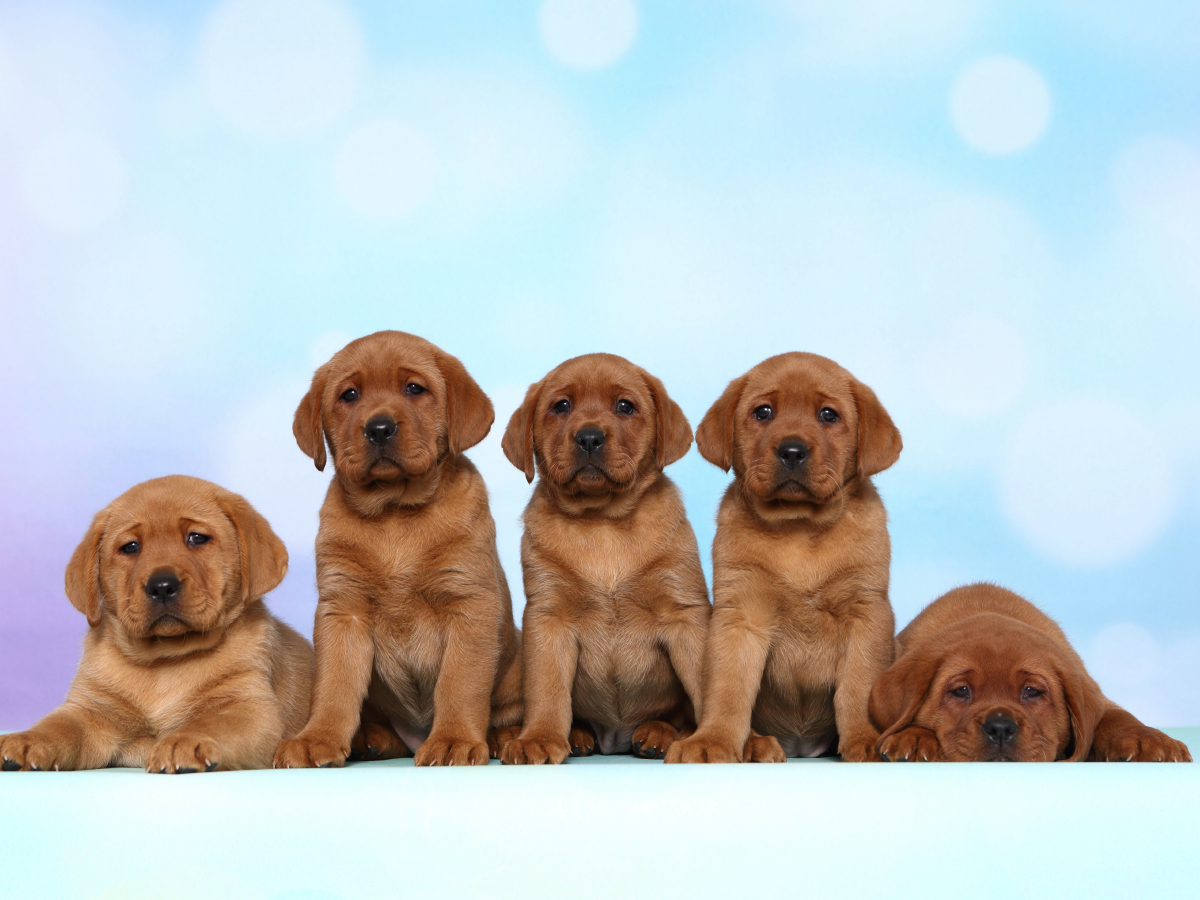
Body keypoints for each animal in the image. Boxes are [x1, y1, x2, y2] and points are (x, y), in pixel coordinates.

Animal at [0, 480, 314, 777]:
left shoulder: (250, 709)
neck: (164, 659)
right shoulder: (89, 710)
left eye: (196, 538)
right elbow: (58, 725)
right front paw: (27, 739)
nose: (162, 586)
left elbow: (214, 722)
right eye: (131, 547)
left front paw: (185, 740)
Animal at [274, 331, 523, 768]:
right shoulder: (343, 611)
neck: (395, 513)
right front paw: (317, 737)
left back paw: (501, 737)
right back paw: (371, 739)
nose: (379, 428)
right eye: (350, 395)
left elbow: (460, 683)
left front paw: (454, 739)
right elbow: (333, 686)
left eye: (414, 389)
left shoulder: (469, 602)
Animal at [499, 355, 710, 763]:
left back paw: (657, 732)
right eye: (561, 406)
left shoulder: (685, 615)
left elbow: (707, 685)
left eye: (625, 406)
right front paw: (539, 737)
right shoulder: (548, 618)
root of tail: (615, 738)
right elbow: (547, 691)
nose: (589, 437)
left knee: (676, 718)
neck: (603, 523)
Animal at [667, 355, 902, 763]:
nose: (792, 451)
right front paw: (712, 740)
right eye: (763, 412)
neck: (799, 529)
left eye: (828, 414)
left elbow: (857, 686)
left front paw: (864, 738)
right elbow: (727, 689)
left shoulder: (867, 610)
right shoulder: (741, 614)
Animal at [873, 585, 1190, 763]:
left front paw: (1148, 739)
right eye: (961, 691)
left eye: (1032, 691)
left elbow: (1117, 717)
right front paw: (914, 737)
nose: (1000, 727)